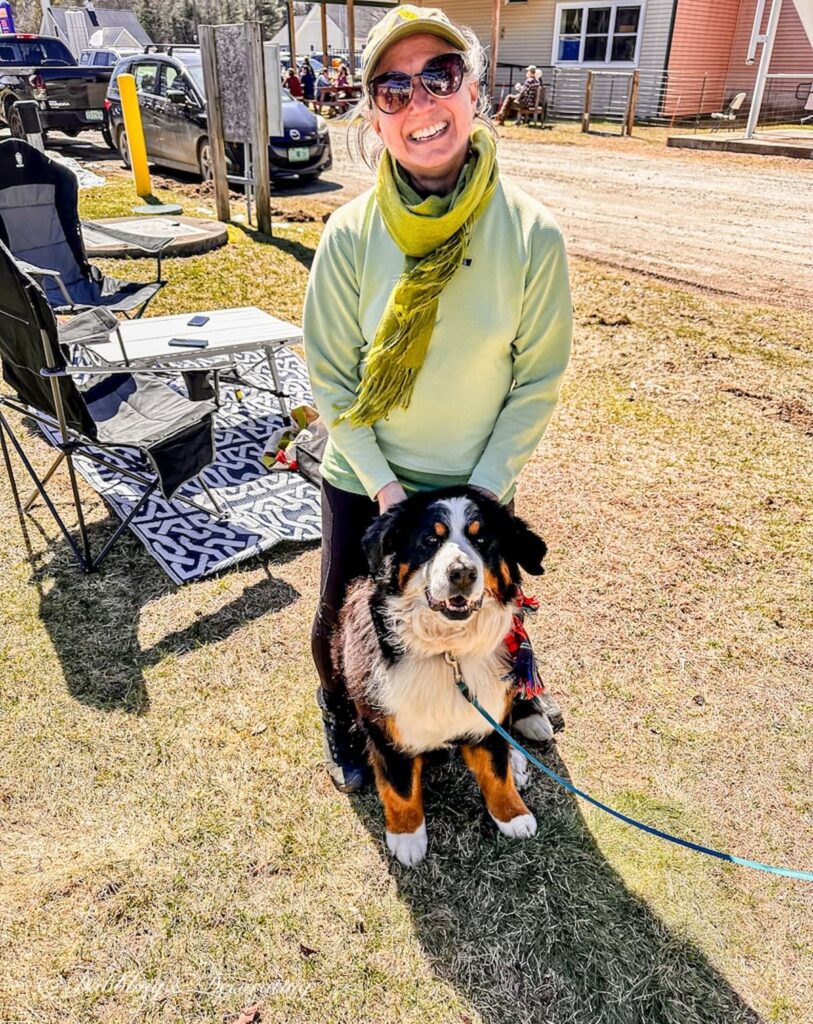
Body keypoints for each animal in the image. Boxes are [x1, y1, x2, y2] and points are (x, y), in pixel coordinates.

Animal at [331, 485, 557, 864]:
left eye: (481, 540)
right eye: (430, 540)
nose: (461, 573)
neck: (448, 650)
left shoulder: (486, 709)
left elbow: (496, 770)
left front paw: (512, 814)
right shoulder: (386, 724)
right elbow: (400, 786)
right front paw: (407, 837)